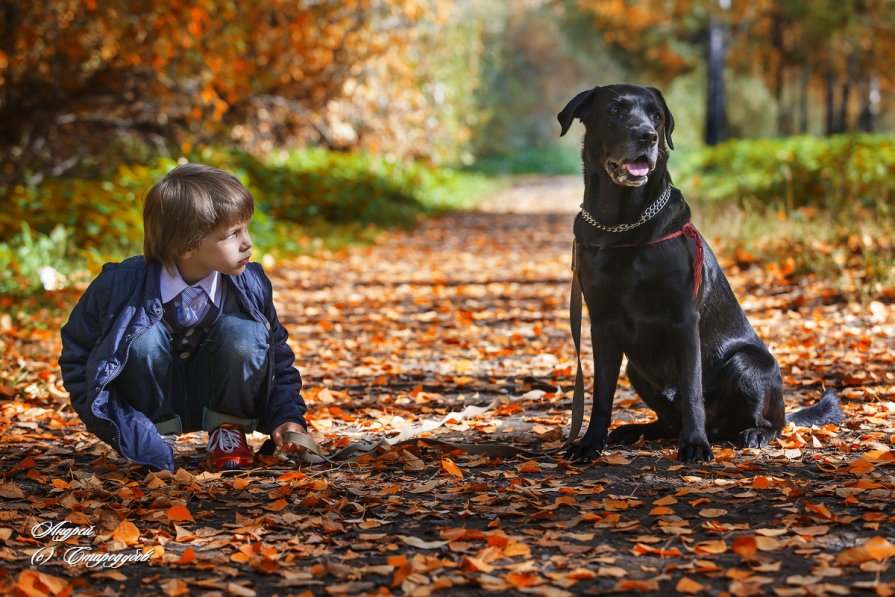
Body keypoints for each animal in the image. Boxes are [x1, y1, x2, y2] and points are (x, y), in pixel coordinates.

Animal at [556, 84, 844, 460]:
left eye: (656, 116)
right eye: (615, 111)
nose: (647, 136)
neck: (621, 225)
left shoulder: (684, 318)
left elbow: (692, 388)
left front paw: (694, 445)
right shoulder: (602, 323)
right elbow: (602, 393)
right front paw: (590, 443)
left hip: (749, 364)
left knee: (774, 423)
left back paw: (751, 433)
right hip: (636, 369)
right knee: (667, 423)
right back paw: (635, 430)